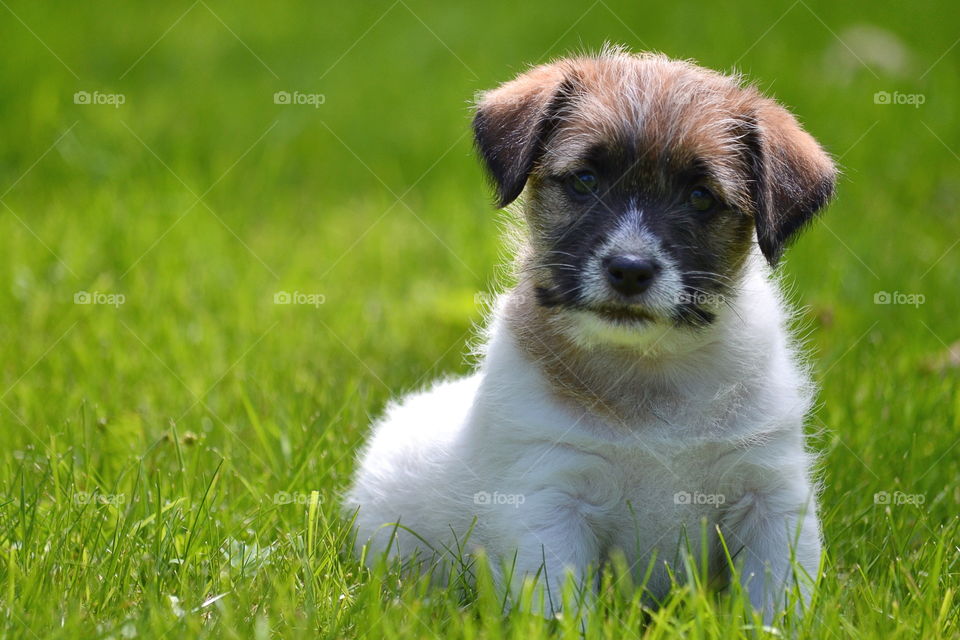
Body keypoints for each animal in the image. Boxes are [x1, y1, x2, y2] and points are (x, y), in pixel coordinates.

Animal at [344, 47, 832, 624]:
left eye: (700, 197)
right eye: (584, 181)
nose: (630, 270)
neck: (648, 371)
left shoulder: (771, 497)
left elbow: (775, 603)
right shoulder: (549, 502)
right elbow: (561, 607)